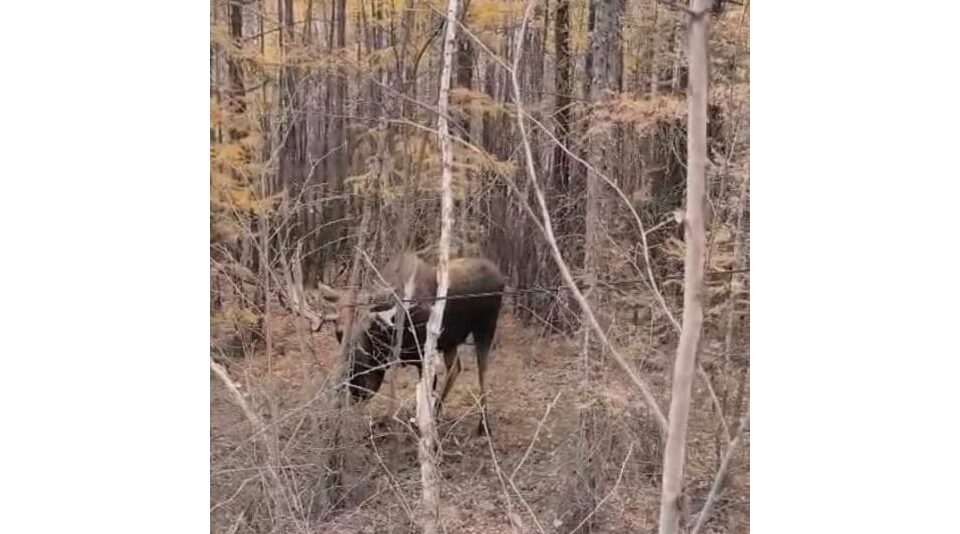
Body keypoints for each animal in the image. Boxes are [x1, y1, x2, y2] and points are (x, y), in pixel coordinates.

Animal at [315, 252, 505, 435]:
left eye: (369, 328)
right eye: (339, 330)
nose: (352, 362)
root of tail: (500, 276)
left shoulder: (423, 358)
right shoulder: (382, 363)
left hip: (485, 329)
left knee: (482, 371)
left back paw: (483, 425)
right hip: (450, 341)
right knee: (455, 368)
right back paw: (438, 413)